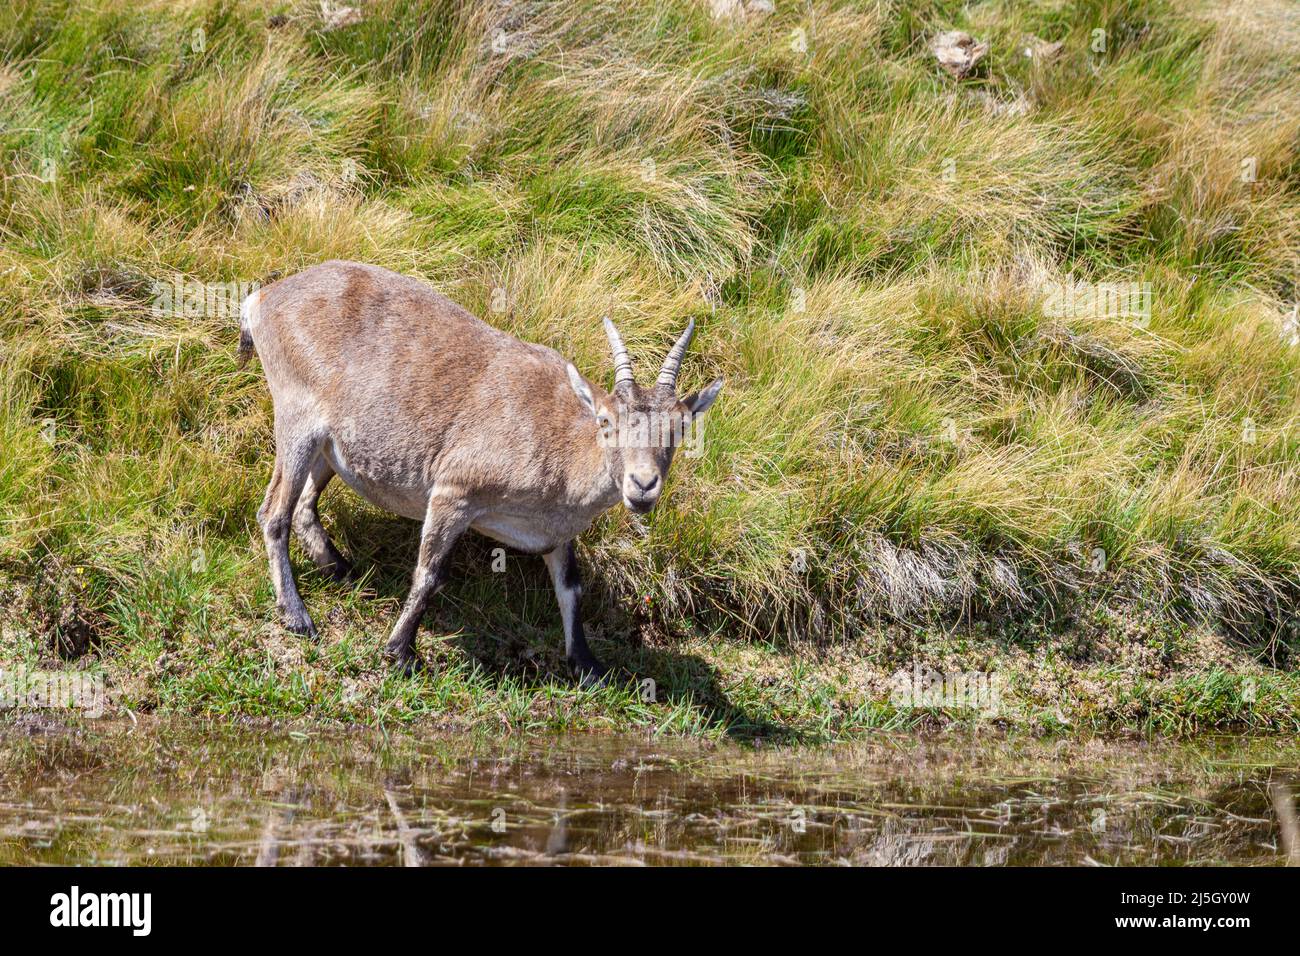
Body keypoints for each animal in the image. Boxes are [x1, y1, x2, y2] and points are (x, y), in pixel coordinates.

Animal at [240, 260, 722, 679]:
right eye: (606, 421)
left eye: (681, 426)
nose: (642, 485)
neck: (561, 448)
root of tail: (265, 297)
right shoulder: (455, 492)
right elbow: (430, 574)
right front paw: (400, 651)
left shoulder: (557, 533)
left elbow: (571, 587)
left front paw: (587, 665)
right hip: (297, 415)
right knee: (275, 512)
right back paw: (297, 614)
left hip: (330, 446)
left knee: (305, 504)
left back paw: (337, 567)